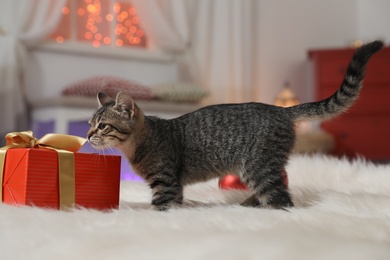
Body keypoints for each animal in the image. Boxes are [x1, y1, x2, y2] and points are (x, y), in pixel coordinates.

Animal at [87, 41, 384, 211]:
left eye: (102, 126)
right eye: (90, 124)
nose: (88, 135)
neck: (137, 146)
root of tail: (281, 109)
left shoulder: (165, 181)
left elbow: (161, 206)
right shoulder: (175, 185)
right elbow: (177, 202)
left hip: (258, 165)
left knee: (282, 198)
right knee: (281, 183)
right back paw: (250, 203)